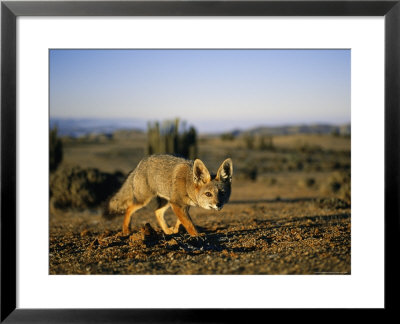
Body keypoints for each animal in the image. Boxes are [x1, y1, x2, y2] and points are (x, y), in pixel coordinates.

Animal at [104, 154, 233, 235]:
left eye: (222, 193)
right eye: (208, 194)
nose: (218, 204)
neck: (188, 183)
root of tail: (140, 164)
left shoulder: (183, 205)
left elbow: (181, 221)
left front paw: (175, 230)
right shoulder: (176, 203)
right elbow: (189, 223)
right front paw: (197, 236)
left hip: (166, 201)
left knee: (157, 212)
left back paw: (166, 231)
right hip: (144, 200)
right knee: (129, 209)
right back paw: (126, 231)